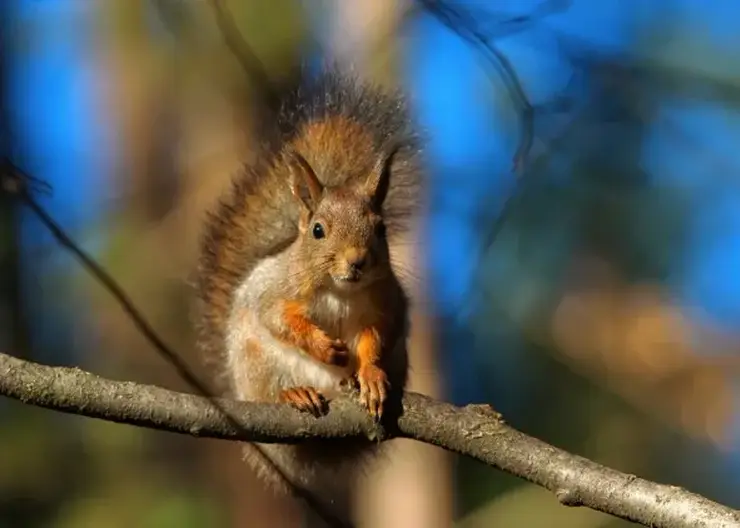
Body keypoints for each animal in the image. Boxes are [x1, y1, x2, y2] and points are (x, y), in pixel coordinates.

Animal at [195, 68, 422, 526]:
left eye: (381, 229)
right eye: (318, 230)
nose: (357, 261)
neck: (339, 289)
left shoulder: (386, 305)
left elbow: (375, 337)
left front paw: (369, 374)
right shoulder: (274, 292)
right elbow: (278, 318)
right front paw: (323, 346)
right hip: (257, 364)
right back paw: (294, 394)